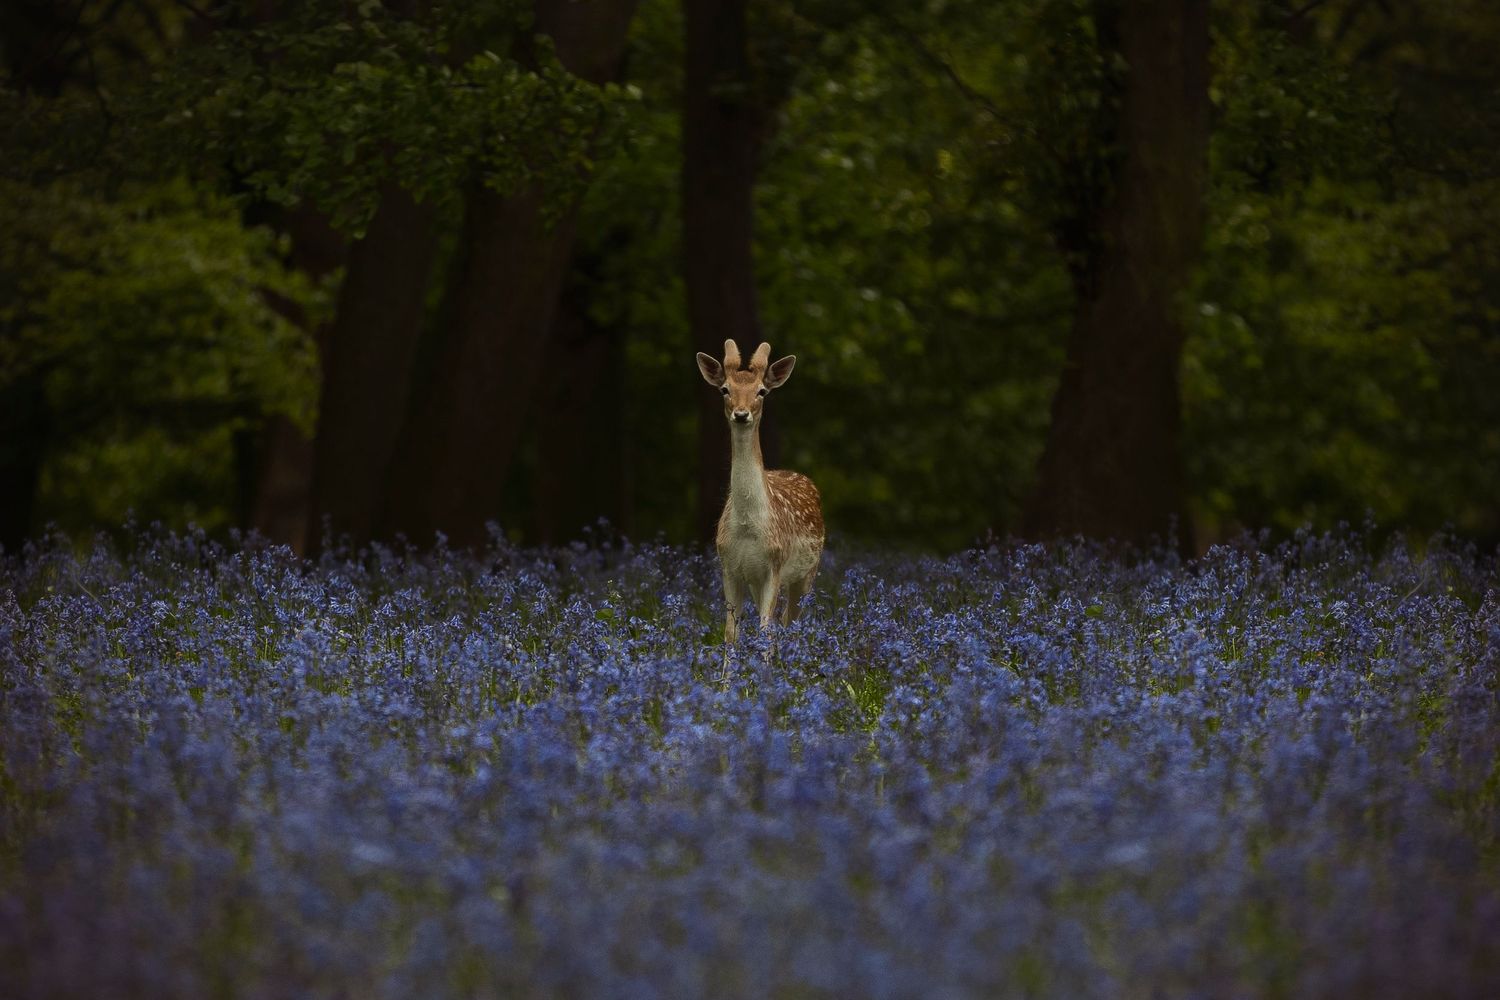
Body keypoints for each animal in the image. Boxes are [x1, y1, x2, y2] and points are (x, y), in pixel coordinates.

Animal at [696, 339, 825, 658]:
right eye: (725, 389)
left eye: (762, 391)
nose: (741, 414)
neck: (747, 527)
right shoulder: (729, 567)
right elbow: (731, 634)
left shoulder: (774, 567)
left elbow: (765, 631)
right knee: (781, 622)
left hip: (807, 573)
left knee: (791, 622)